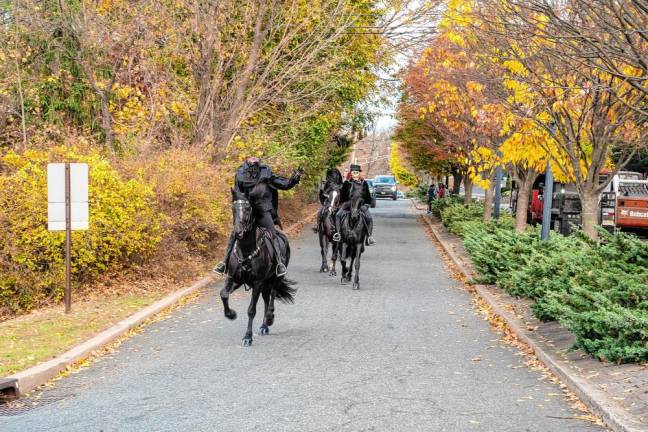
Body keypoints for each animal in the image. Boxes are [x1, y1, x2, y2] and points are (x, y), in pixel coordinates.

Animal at [220, 187, 296, 346]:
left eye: (248, 208)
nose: (238, 232)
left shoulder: (257, 283)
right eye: (233, 208)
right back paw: (264, 325)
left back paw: (269, 318)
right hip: (265, 283)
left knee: (272, 295)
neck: (246, 250)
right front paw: (231, 314)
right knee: (267, 298)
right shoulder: (234, 279)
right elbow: (223, 294)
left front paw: (247, 337)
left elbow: (251, 310)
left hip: (275, 279)